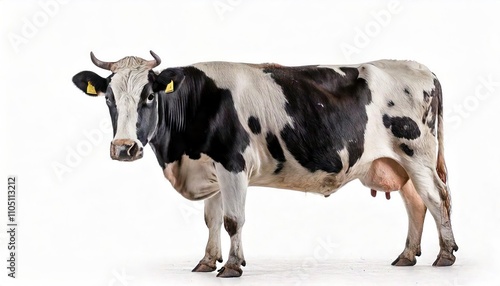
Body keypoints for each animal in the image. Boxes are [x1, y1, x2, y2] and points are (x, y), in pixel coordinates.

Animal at [72, 51, 458, 278]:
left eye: (149, 96)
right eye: (108, 98)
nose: (124, 148)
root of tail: (420, 67)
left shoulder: (233, 163)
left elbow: (232, 219)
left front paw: (231, 266)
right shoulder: (212, 168)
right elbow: (212, 219)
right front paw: (206, 262)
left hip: (417, 154)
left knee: (437, 198)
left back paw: (445, 255)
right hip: (396, 162)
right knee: (415, 203)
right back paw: (407, 256)